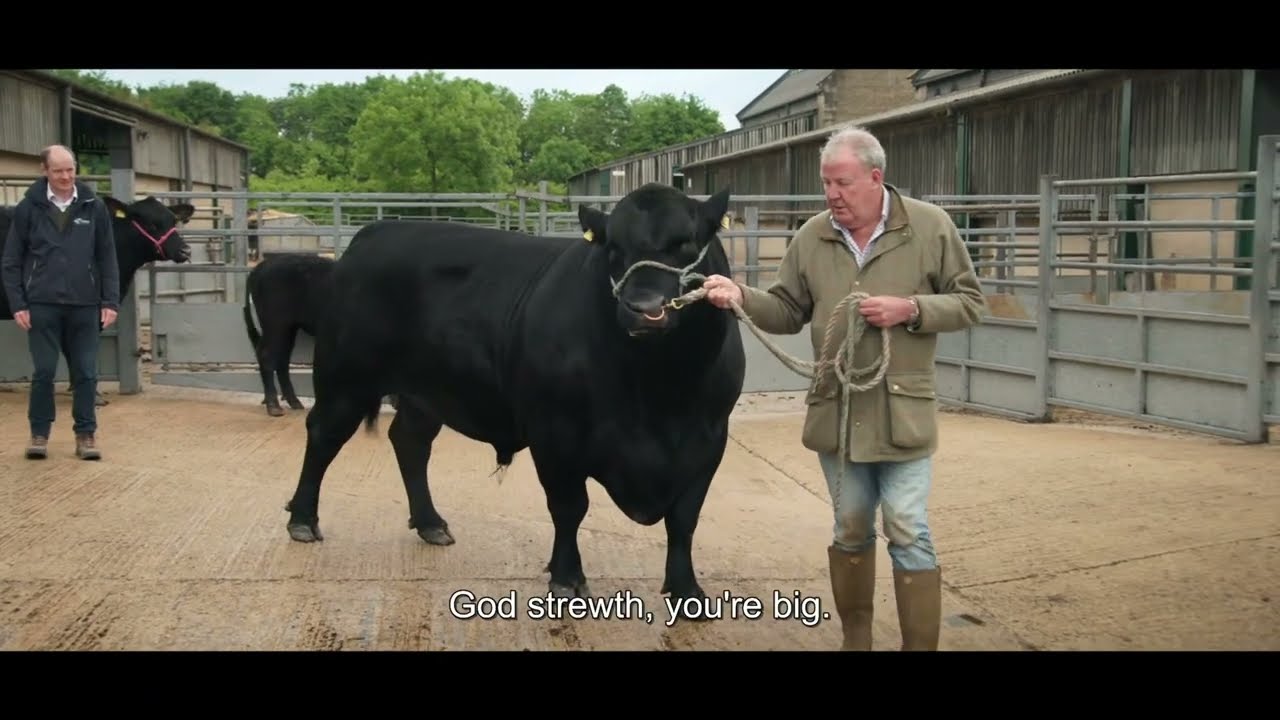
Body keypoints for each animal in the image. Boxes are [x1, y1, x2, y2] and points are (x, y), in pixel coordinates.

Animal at [282, 183, 745, 618]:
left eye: (686, 243)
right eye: (613, 247)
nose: (643, 307)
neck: (658, 392)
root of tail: (376, 232)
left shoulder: (708, 440)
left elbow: (684, 518)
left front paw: (687, 590)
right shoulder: (555, 434)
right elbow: (569, 507)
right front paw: (567, 579)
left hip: (424, 394)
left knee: (410, 444)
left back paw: (431, 523)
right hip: (345, 377)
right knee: (323, 435)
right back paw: (302, 520)